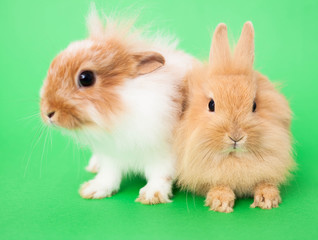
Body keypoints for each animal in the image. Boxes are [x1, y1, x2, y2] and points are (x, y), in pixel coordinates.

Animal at [39, 6, 194, 203]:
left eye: (86, 78)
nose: (48, 113)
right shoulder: (111, 155)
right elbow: (109, 175)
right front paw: (92, 190)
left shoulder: (162, 155)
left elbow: (160, 175)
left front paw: (152, 195)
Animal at [175, 22, 294, 213]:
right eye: (211, 105)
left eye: (254, 105)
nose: (236, 137)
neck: (235, 158)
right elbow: (217, 184)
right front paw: (221, 202)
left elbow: (264, 181)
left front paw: (268, 198)